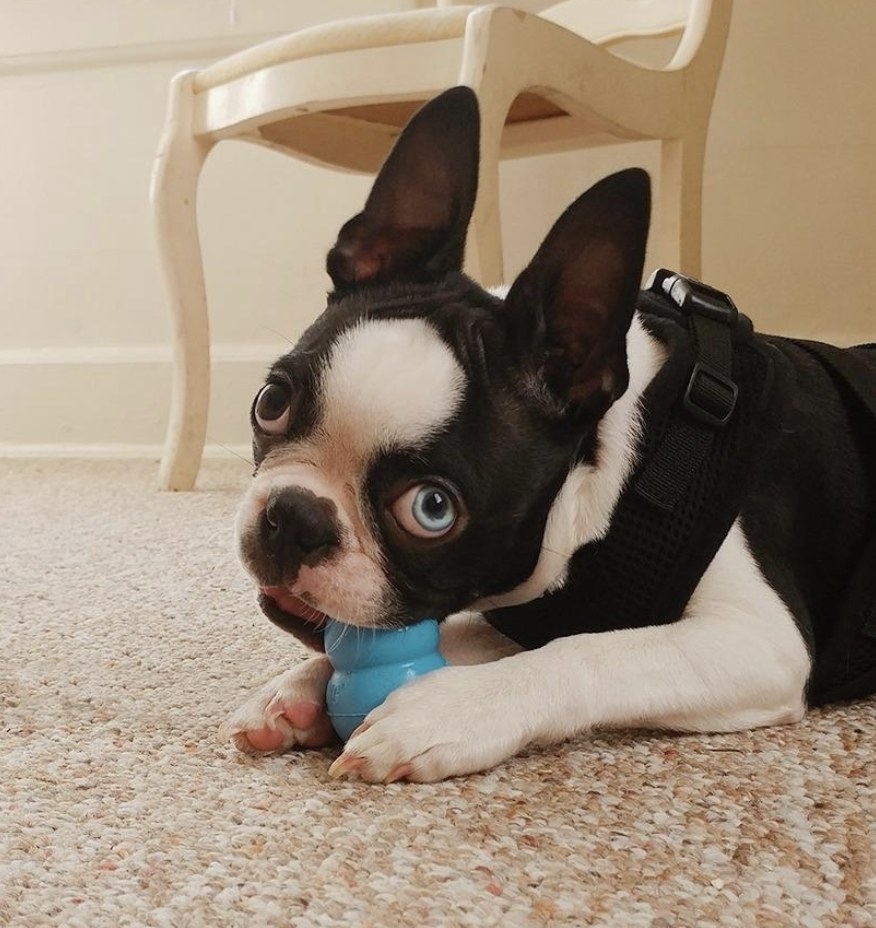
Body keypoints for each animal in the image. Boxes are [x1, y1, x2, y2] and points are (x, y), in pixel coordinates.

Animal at [219, 87, 876, 784]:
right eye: (271, 403)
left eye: (432, 509)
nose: (292, 516)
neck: (626, 473)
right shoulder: (529, 609)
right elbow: (465, 634)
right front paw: (299, 687)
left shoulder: (757, 641)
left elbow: (586, 652)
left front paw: (445, 712)